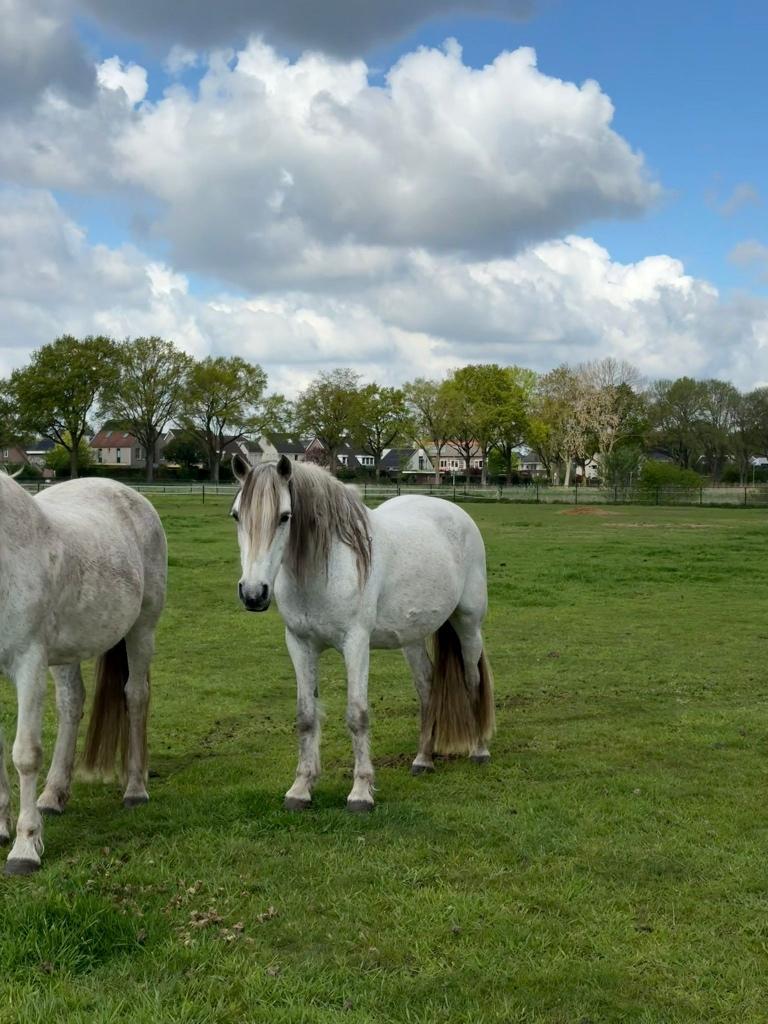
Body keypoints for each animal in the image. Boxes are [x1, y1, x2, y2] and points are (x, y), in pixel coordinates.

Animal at [0, 471, 167, 874]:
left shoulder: (28, 662)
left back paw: (135, 789)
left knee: (136, 697)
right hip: (66, 653)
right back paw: (52, 795)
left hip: (142, 629)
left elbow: (25, 753)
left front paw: (25, 847)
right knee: (71, 703)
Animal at [230, 454, 494, 813]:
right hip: (412, 637)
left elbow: (357, 715)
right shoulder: (299, 644)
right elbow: (306, 716)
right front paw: (300, 789)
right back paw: (423, 759)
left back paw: (479, 750)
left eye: (285, 516)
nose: (253, 593)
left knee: (472, 680)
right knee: (428, 688)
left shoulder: (356, 643)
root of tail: (455, 512)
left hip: (468, 625)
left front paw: (361, 792)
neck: (324, 568)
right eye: (236, 515)